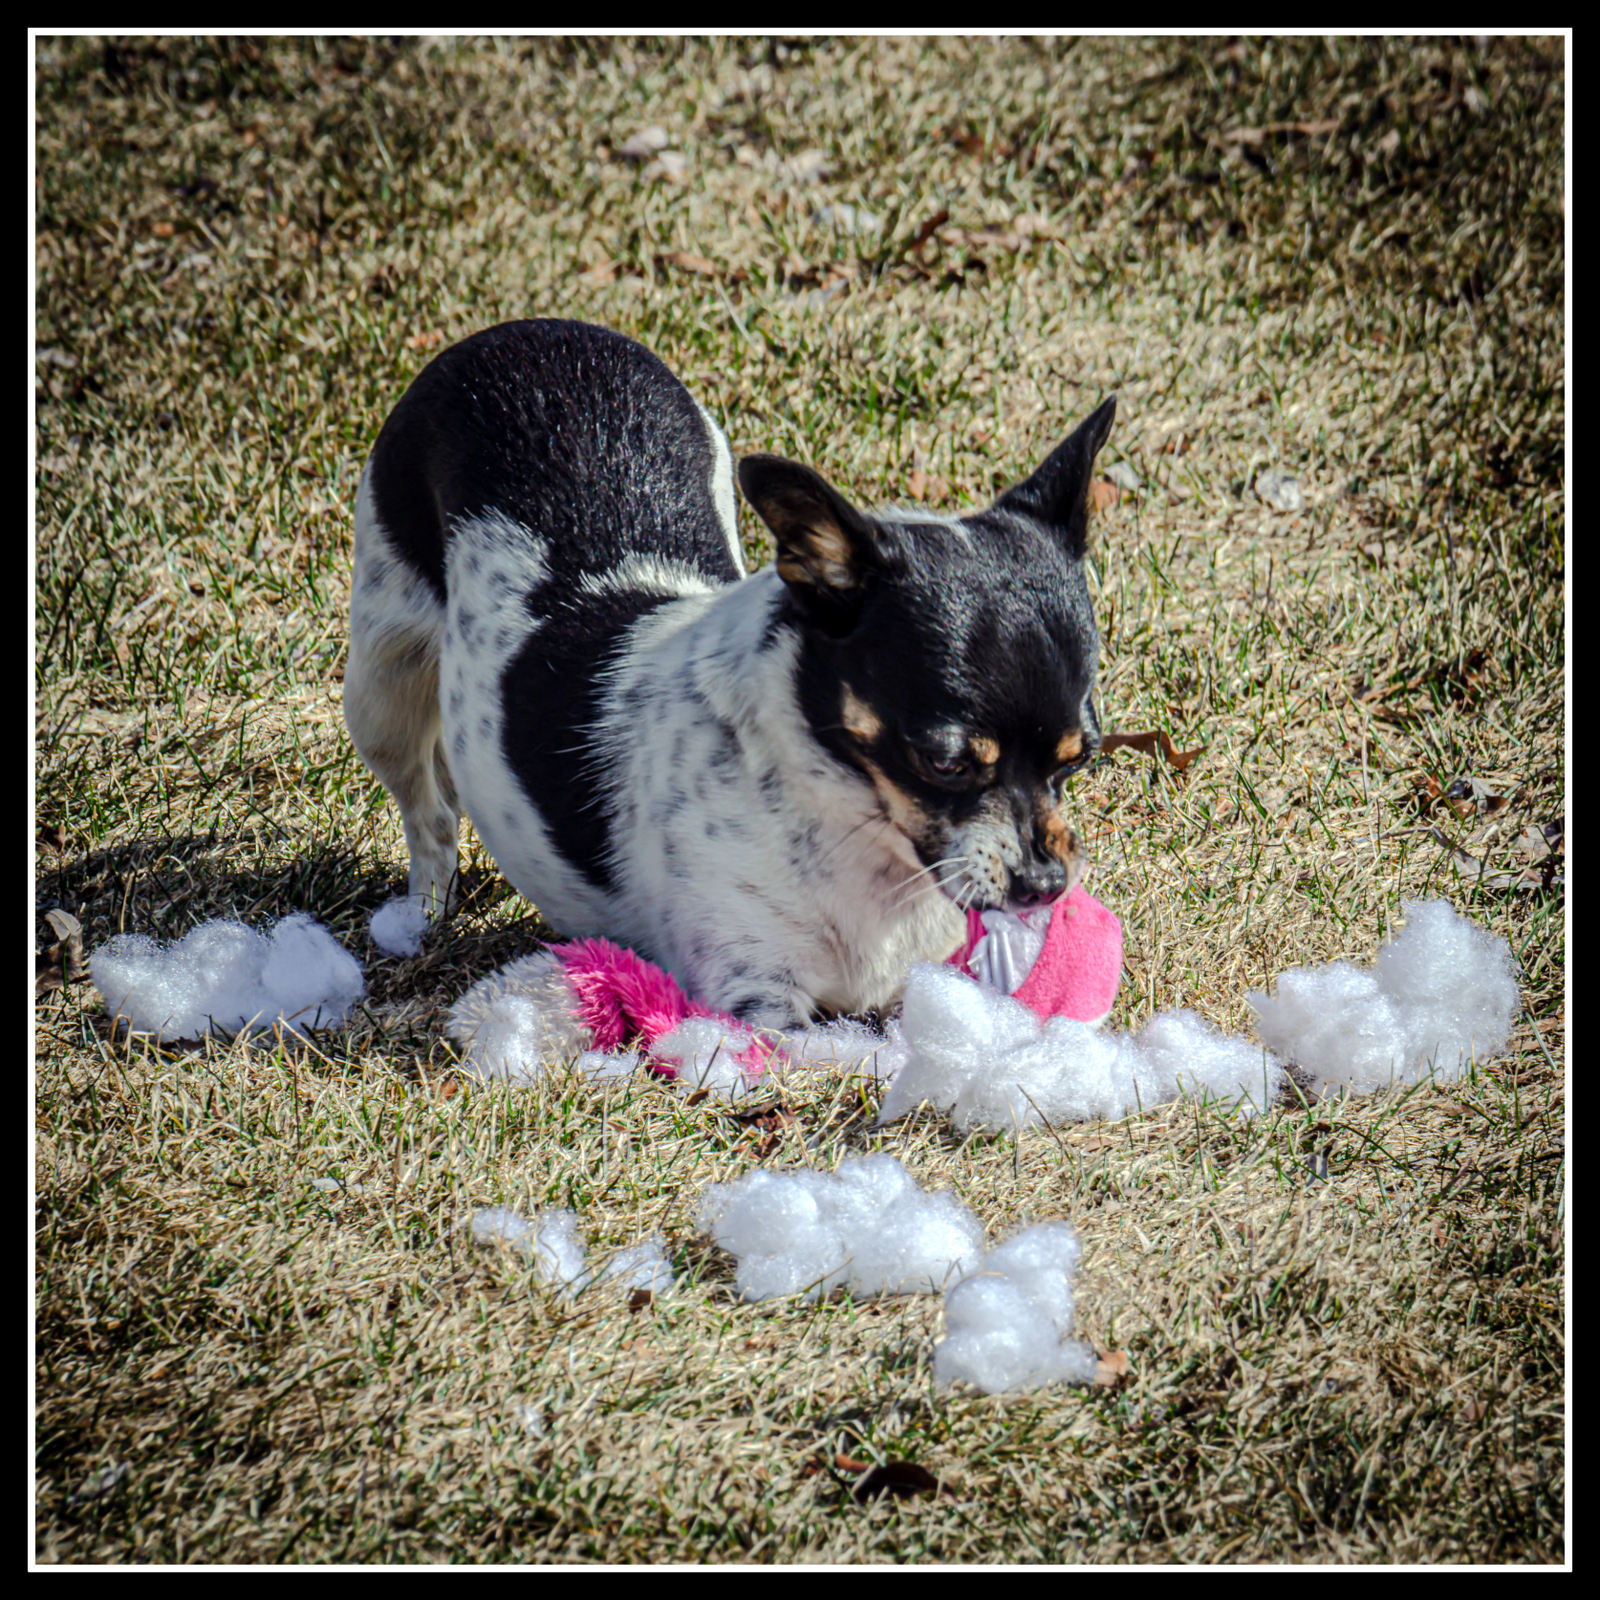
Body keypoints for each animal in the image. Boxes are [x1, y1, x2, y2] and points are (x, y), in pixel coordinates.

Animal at [344, 319, 1114, 1030]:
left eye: (1081, 759)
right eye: (945, 763)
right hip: (380, 688)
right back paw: (424, 914)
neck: (855, 829)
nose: (1045, 884)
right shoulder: (757, 1006)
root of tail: (528, 333)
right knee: (429, 815)